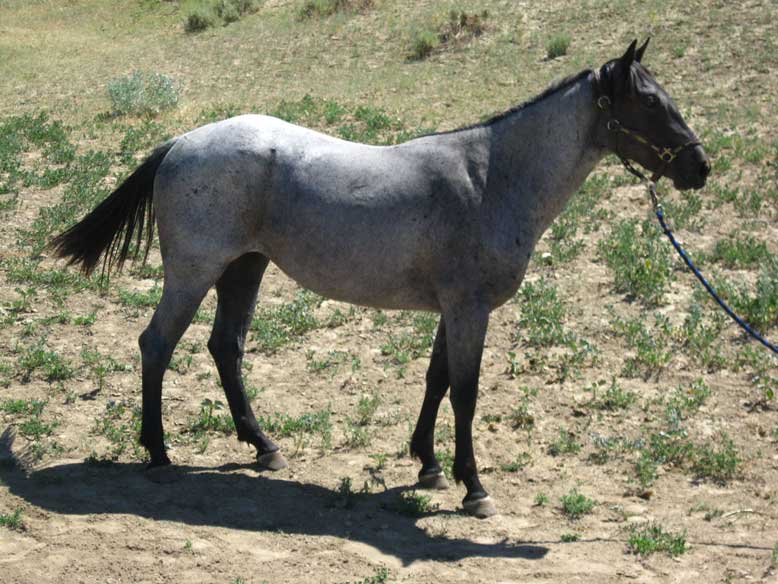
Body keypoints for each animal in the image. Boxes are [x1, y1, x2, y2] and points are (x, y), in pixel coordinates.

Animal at [53, 40, 708, 516]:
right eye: (650, 103)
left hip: (244, 268)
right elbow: (466, 394)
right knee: (157, 345)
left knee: (225, 348)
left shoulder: (454, 310)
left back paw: (264, 447)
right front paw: (474, 488)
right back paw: (160, 453)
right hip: (194, 273)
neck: (491, 177)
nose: (700, 167)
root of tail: (182, 142)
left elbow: (437, 381)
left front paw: (428, 465)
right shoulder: (469, 309)